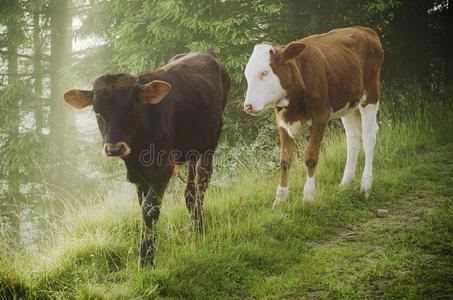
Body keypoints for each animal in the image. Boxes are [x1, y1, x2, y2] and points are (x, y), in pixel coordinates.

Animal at [242, 26, 384, 206]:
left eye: (264, 72)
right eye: (247, 74)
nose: (248, 106)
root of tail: (364, 29)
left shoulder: (320, 117)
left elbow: (310, 157)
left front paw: (308, 196)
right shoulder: (281, 123)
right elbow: (284, 161)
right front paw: (280, 198)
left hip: (371, 94)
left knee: (368, 136)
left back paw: (366, 185)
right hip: (348, 103)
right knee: (353, 137)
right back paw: (346, 182)